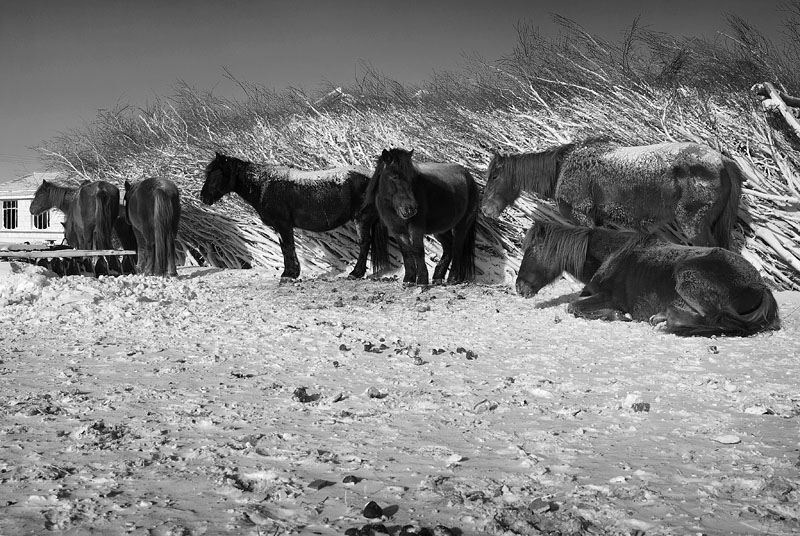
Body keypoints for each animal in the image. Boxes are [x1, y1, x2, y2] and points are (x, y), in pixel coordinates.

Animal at [198, 150, 390, 276]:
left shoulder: (283, 224)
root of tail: (372, 177)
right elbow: (285, 247)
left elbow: (288, 247)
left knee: (364, 244)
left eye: (217, 173)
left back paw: (356, 273)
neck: (265, 185)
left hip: (361, 219)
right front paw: (292, 272)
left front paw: (289, 274)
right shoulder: (280, 227)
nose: (203, 197)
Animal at [366, 148, 478, 284]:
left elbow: (418, 250)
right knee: (449, 248)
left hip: (461, 225)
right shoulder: (398, 230)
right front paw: (409, 279)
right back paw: (438, 276)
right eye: (394, 177)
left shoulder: (416, 228)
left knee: (457, 248)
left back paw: (452, 278)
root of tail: (469, 177)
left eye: (412, 178)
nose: (411, 208)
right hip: (441, 230)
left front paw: (422, 279)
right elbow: (406, 252)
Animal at [484, 137, 748, 248]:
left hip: (694, 226)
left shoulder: (582, 217)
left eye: (494, 176)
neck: (565, 167)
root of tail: (722, 161)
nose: (486, 211)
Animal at [516, 220, 780, 338]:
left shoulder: (608, 297)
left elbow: (573, 306)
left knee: (716, 320)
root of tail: (760, 285)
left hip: (687, 278)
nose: (519, 288)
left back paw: (666, 321)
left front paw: (618, 316)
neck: (611, 256)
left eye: (532, 250)